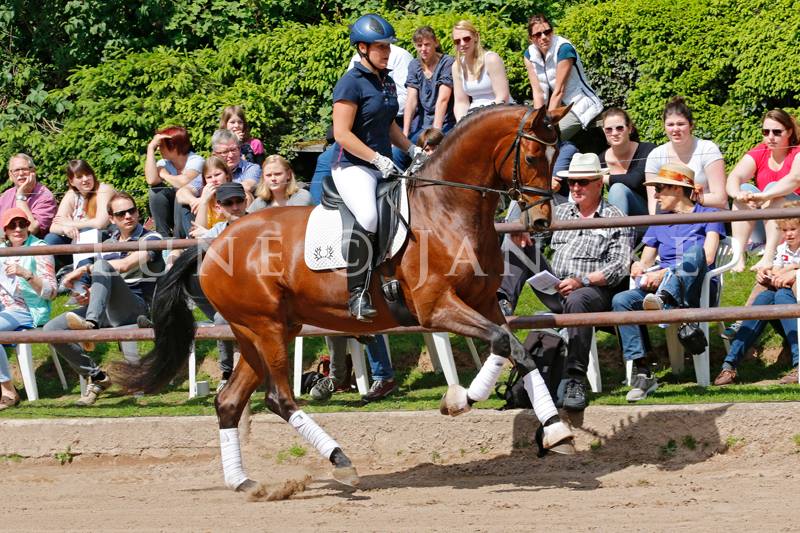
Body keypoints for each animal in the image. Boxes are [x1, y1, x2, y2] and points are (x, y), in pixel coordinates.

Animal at [117, 104, 576, 498]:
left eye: (557, 155)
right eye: (533, 155)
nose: (541, 222)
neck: (446, 209)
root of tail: (214, 245)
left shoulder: (485, 304)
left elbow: (515, 347)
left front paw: (556, 430)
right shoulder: (436, 308)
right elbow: (500, 342)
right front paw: (460, 401)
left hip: (261, 332)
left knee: (229, 402)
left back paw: (246, 484)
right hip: (267, 330)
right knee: (279, 399)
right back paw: (341, 462)